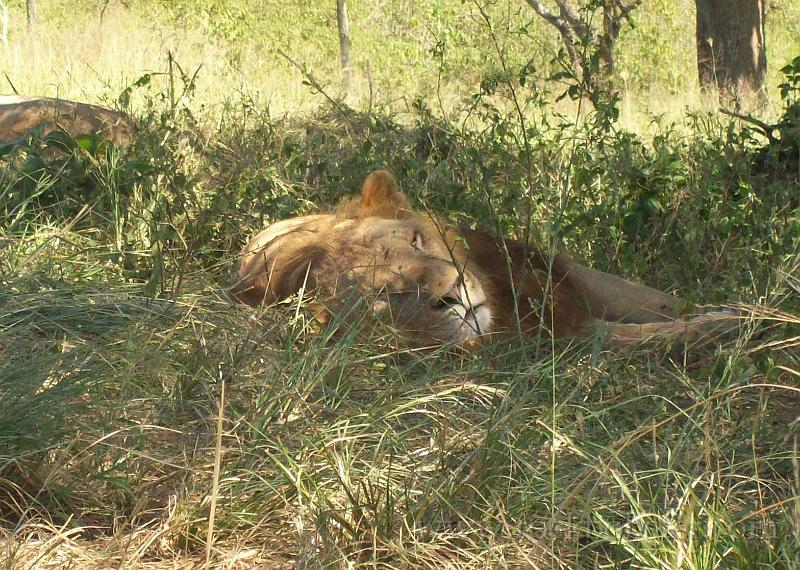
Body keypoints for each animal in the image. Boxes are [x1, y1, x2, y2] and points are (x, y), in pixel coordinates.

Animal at [231, 169, 736, 346]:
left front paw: (742, 308)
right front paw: (735, 327)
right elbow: (661, 336)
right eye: (388, 294)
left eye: (417, 241)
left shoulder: (567, 273)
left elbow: (660, 300)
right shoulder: (560, 338)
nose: (454, 295)